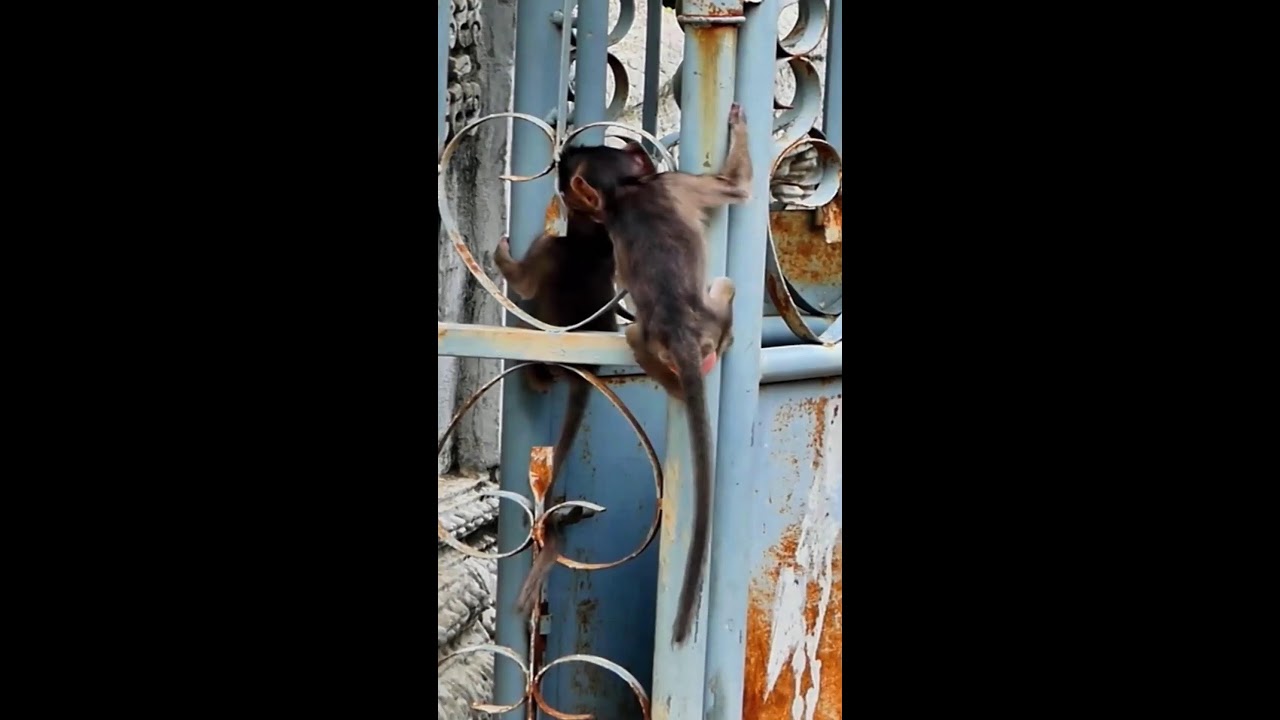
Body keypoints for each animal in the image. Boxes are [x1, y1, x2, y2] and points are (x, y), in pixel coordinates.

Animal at [560, 103, 752, 644]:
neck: (625, 191)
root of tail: (682, 334)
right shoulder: (677, 183)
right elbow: (736, 186)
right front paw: (739, 126)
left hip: (652, 335)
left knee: (635, 337)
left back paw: (673, 385)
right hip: (715, 306)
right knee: (726, 290)